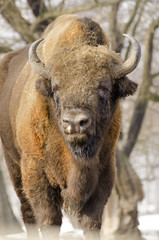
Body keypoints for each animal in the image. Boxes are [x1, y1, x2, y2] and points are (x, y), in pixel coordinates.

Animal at [0, 14, 140, 239]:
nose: (75, 122)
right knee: (27, 212)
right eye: (56, 88)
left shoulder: (103, 174)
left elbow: (92, 222)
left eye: (104, 87)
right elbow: (49, 220)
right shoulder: (36, 173)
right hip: (13, 164)